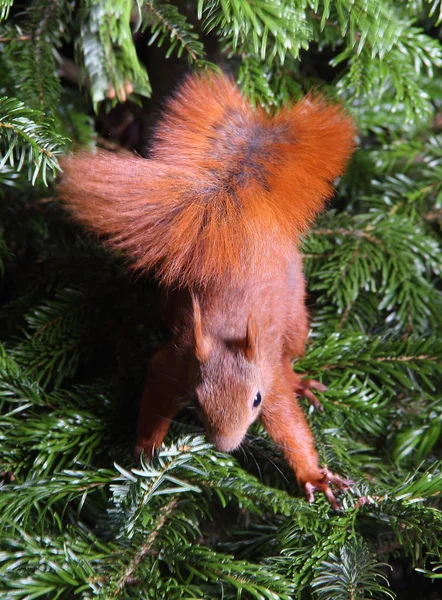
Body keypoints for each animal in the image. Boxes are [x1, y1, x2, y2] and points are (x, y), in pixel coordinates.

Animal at [58, 72, 356, 508]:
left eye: (256, 400)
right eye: (198, 401)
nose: (224, 447)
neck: (228, 331)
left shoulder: (269, 377)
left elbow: (290, 427)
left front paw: (314, 476)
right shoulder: (176, 361)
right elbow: (156, 393)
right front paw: (147, 447)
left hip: (296, 318)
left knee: (293, 348)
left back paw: (301, 380)